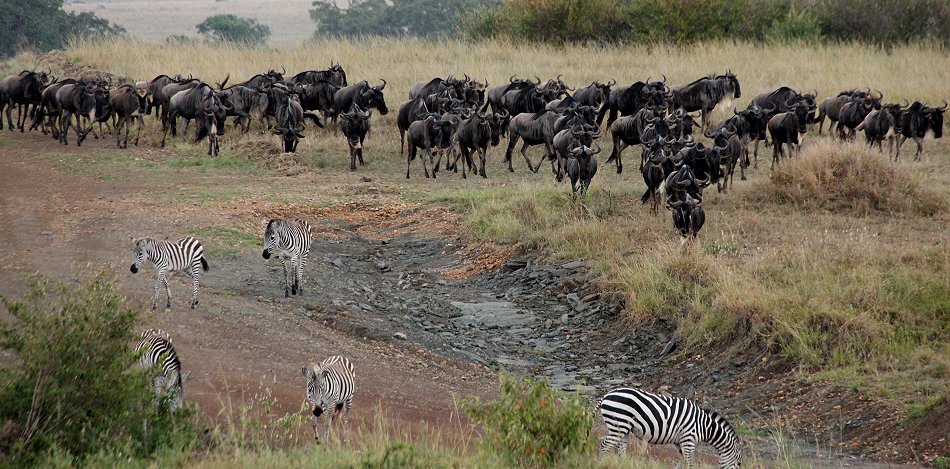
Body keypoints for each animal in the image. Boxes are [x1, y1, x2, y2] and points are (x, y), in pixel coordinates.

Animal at [604, 386, 744, 466]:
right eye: (739, 464)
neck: (704, 425)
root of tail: (607, 394)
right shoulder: (688, 439)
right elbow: (691, 463)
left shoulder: (680, 442)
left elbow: (684, 462)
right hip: (619, 423)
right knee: (605, 445)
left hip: (623, 428)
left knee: (620, 449)